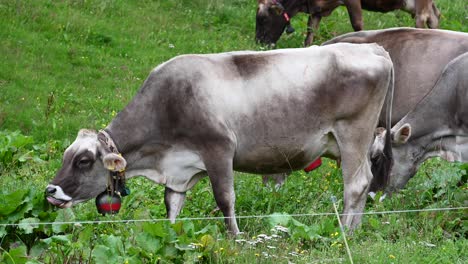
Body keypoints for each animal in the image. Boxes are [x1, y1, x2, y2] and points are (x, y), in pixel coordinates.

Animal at [45, 42, 394, 233]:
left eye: (84, 160)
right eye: (66, 156)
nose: (51, 190)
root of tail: (371, 47)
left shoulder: (219, 149)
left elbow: (225, 198)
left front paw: (235, 237)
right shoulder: (179, 168)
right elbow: (172, 203)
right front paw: (171, 235)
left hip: (353, 133)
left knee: (356, 184)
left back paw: (345, 232)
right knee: (365, 183)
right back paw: (355, 230)